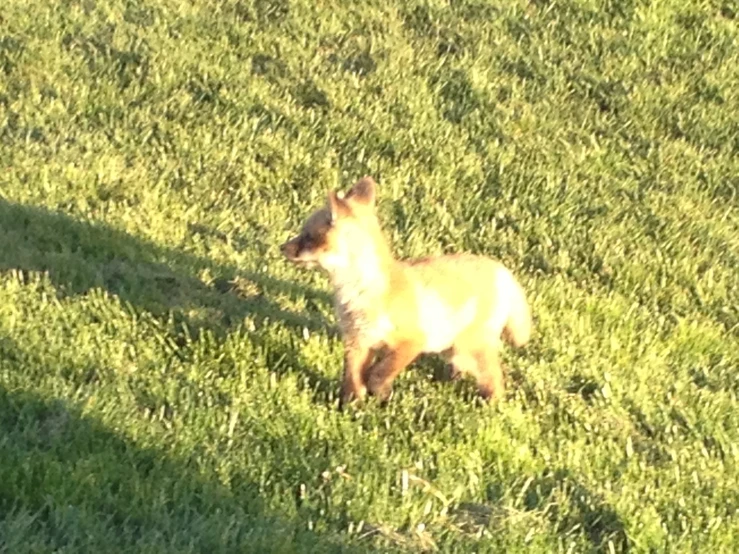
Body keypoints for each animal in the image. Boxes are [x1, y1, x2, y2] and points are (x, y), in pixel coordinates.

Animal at [278, 178, 532, 406]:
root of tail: (500, 269)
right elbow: (353, 381)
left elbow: (379, 373)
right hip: (453, 348)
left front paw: (378, 393)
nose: (281, 247)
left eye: (307, 236)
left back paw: (492, 405)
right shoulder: (357, 342)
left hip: (469, 346)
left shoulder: (411, 342)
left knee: (494, 378)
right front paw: (352, 407)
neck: (361, 296)